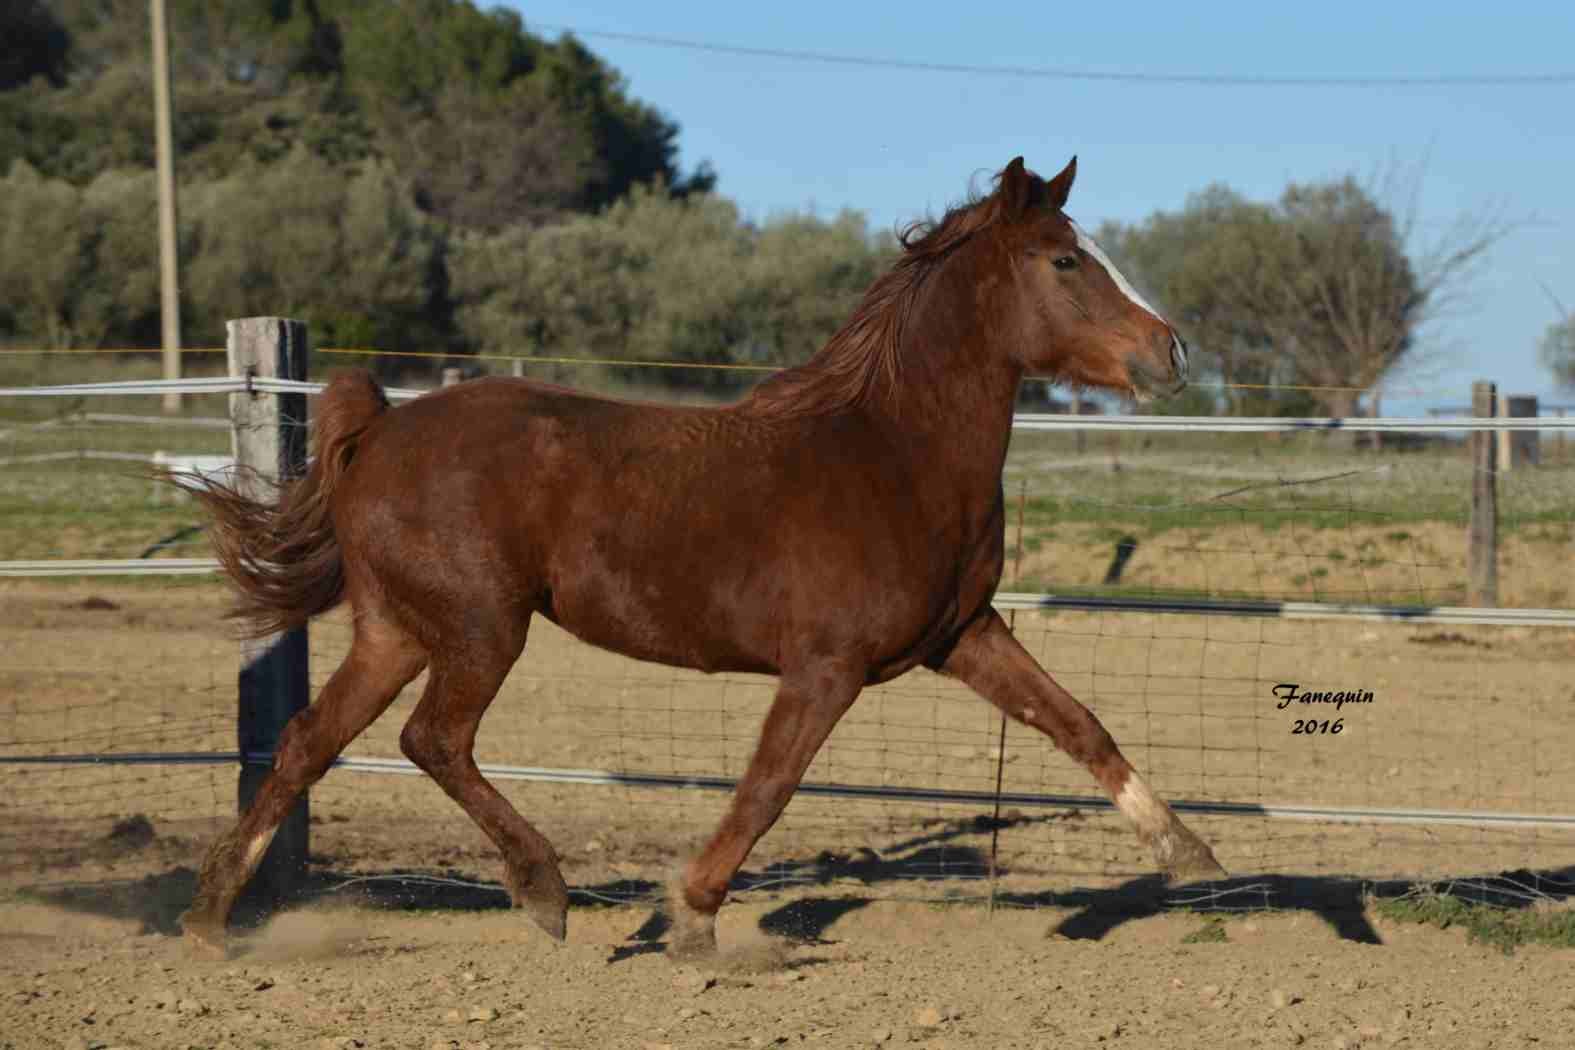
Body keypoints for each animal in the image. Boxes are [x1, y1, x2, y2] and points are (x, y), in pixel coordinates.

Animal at [178, 158, 1222, 963]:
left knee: (309, 742)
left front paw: (1193, 860)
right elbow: (767, 787)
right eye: (1065, 259)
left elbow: (1079, 725)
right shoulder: (827, 669)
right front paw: (689, 919)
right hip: (481, 629)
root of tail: (383, 429)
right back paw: (544, 892)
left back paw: (210, 921)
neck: (892, 452)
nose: (1171, 354)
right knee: (431, 740)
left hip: (395, 631)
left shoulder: (961, 636)